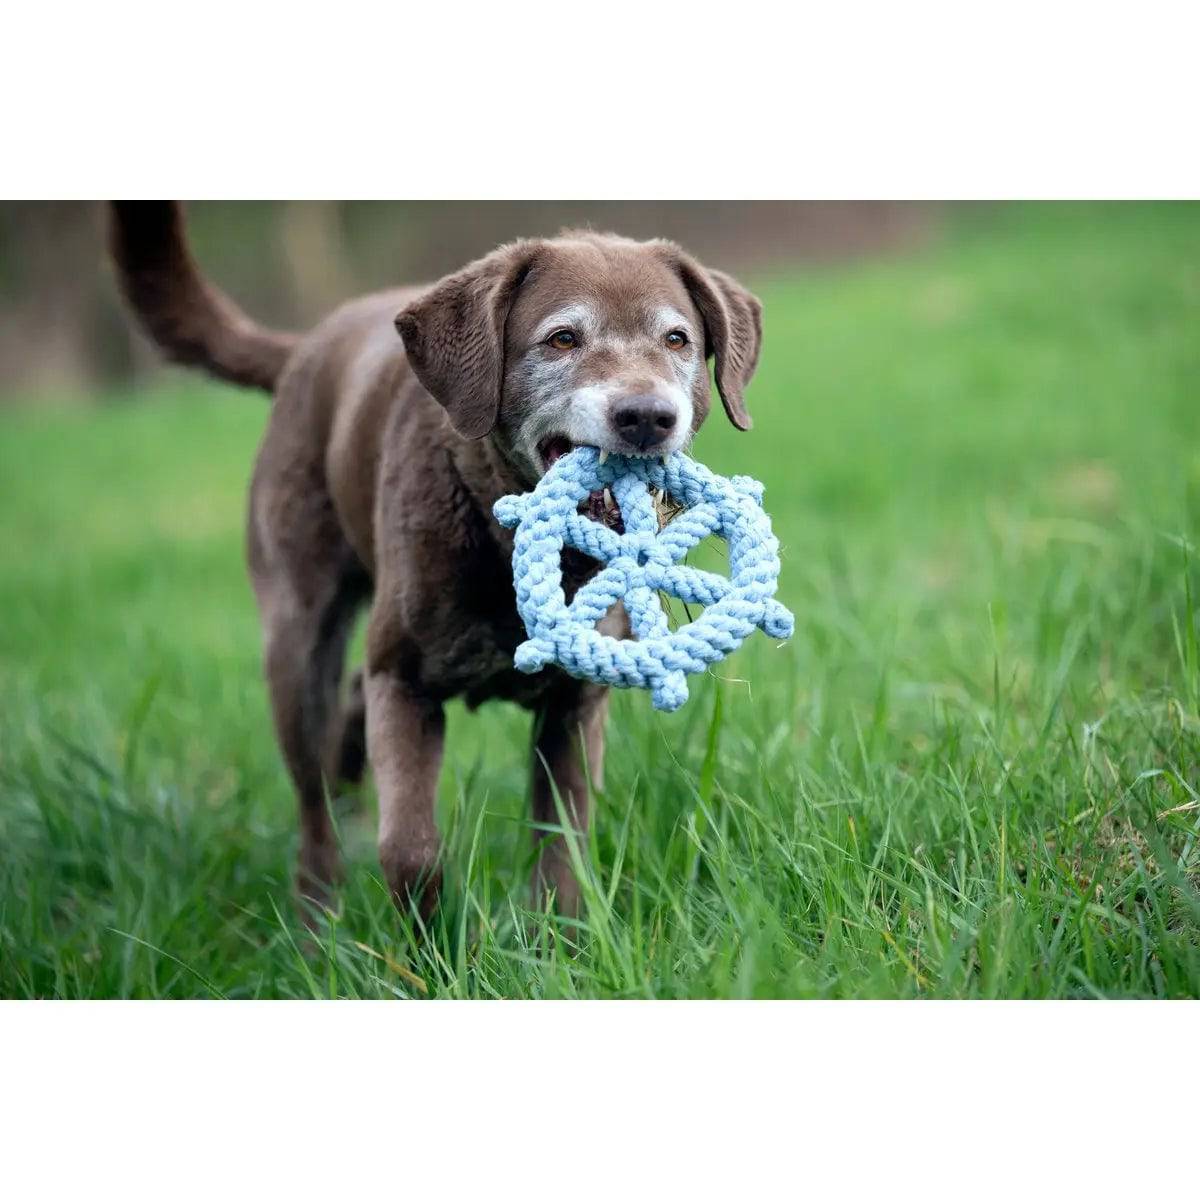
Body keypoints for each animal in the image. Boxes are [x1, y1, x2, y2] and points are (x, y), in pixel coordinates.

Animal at [105, 204, 758, 916]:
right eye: (562, 339)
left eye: (677, 340)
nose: (647, 416)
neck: (505, 530)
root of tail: (305, 347)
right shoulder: (405, 683)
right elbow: (411, 851)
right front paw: (434, 940)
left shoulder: (575, 705)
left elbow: (562, 850)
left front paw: (560, 934)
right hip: (297, 641)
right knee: (312, 801)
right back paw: (317, 916)